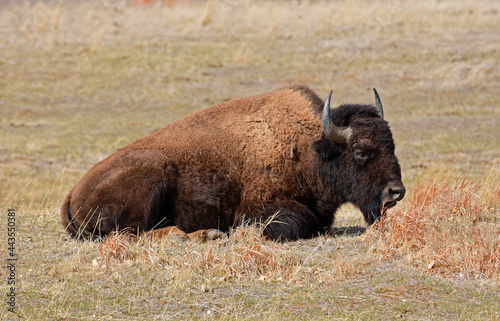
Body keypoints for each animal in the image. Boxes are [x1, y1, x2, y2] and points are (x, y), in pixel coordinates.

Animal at [61, 85, 406, 240]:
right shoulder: (259, 208)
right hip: (153, 173)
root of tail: (72, 193)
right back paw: (201, 235)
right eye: (361, 151)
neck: (310, 147)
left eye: (392, 145)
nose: (396, 191)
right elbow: (299, 223)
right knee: (133, 233)